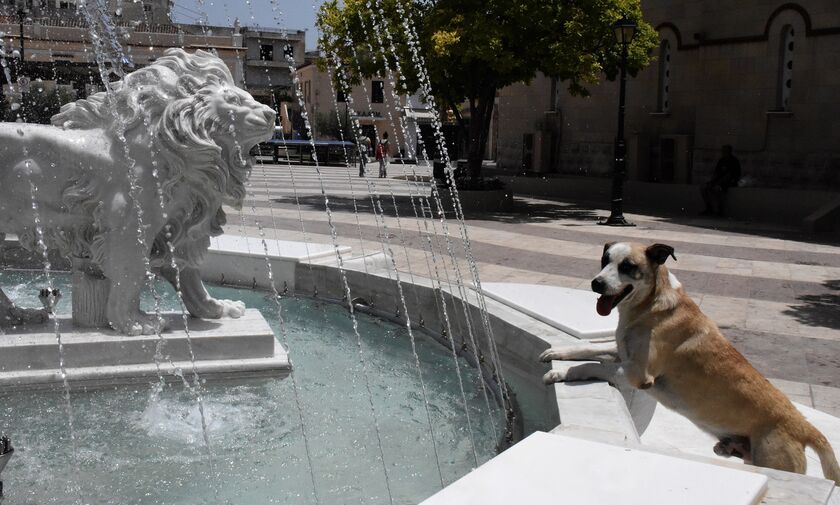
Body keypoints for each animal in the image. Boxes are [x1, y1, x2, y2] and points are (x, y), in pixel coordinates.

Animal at [540, 242, 836, 482]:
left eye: (627, 267)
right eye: (604, 260)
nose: (596, 283)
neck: (649, 305)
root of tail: (805, 426)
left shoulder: (636, 372)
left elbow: (591, 366)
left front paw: (560, 374)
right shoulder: (621, 353)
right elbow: (585, 349)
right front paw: (556, 352)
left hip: (774, 460)